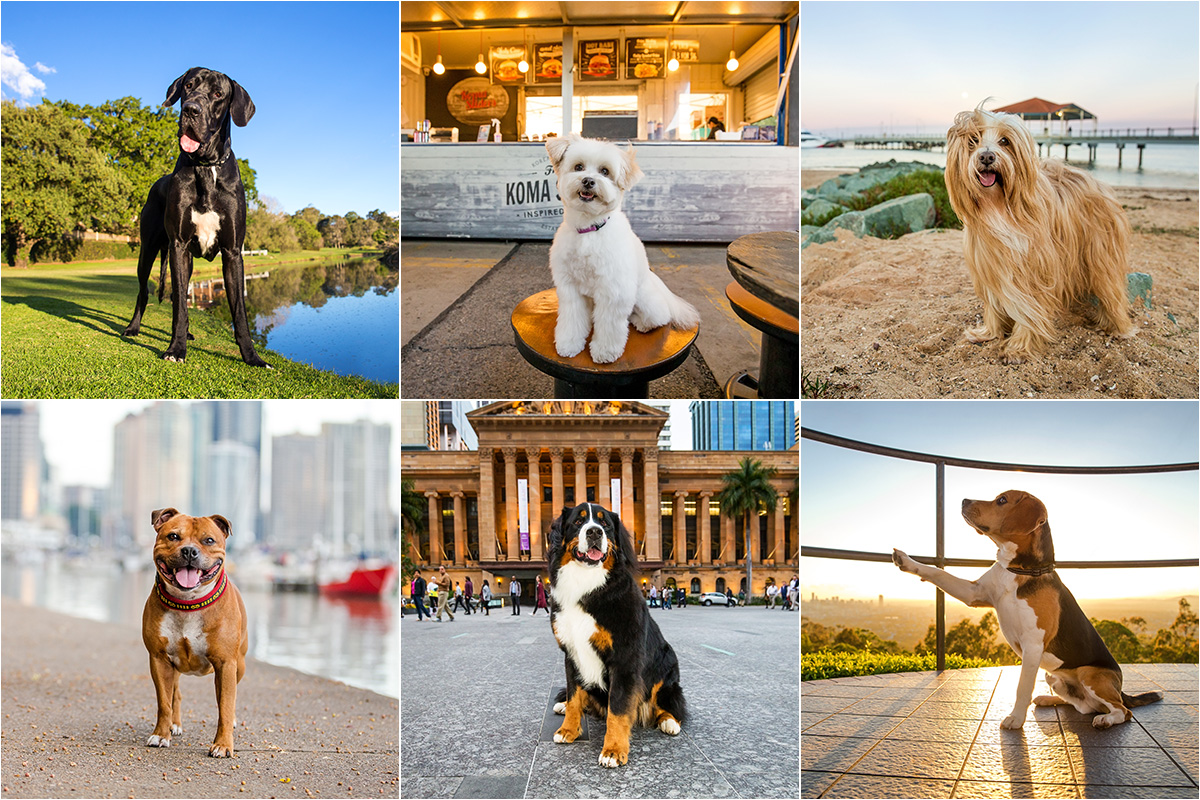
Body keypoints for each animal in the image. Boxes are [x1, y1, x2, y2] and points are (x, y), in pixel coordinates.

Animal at [123, 68, 268, 369]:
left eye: (218, 94)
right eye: (188, 86)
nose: (191, 109)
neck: (206, 167)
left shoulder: (232, 252)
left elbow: (240, 313)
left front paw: (252, 357)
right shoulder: (178, 245)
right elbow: (179, 303)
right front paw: (175, 349)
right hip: (149, 250)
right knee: (145, 291)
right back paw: (133, 328)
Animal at [547, 135, 700, 367]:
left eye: (605, 171)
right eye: (578, 167)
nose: (588, 181)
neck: (590, 229)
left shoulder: (614, 291)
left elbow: (609, 325)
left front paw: (605, 352)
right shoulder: (570, 288)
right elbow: (572, 318)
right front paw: (569, 343)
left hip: (644, 300)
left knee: (659, 317)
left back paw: (640, 322)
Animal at [547, 501, 686, 767]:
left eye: (605, 524)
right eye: (578, 522)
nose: (594, 532)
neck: (587, 583)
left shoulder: (624, 658)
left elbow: (618, 708)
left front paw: (613, 750)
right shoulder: (571, 654)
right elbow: (574, 697)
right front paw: (568, 730)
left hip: (667, 666)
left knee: (670, 704)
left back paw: (669, 722)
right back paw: (562, 705)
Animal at [892, 491, 1161, 729]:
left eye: (1002, 500)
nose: (964, 500)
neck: (1020, 570)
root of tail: (1121, 689)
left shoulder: (1032, 644)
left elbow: (1022, 686)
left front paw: (1015, 719)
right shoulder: (974, 593)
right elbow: (938, 573)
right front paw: (907, 561)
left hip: (1089, 675)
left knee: (1121, 711)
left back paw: (1106, 720)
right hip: (1054, 677)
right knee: (1084, 706)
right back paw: (1048, 699)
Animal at [945, 103, 1132, 362]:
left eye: (1005, 141)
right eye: (973, 140)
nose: (987, 156)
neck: (999, 207)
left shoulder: (1034, 269)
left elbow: (1029, 309)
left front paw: (1020, 346)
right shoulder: (989, 264)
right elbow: (993, 304)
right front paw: (989, 332)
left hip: (1100, 253)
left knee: (1111, 289)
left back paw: (1117, 327)